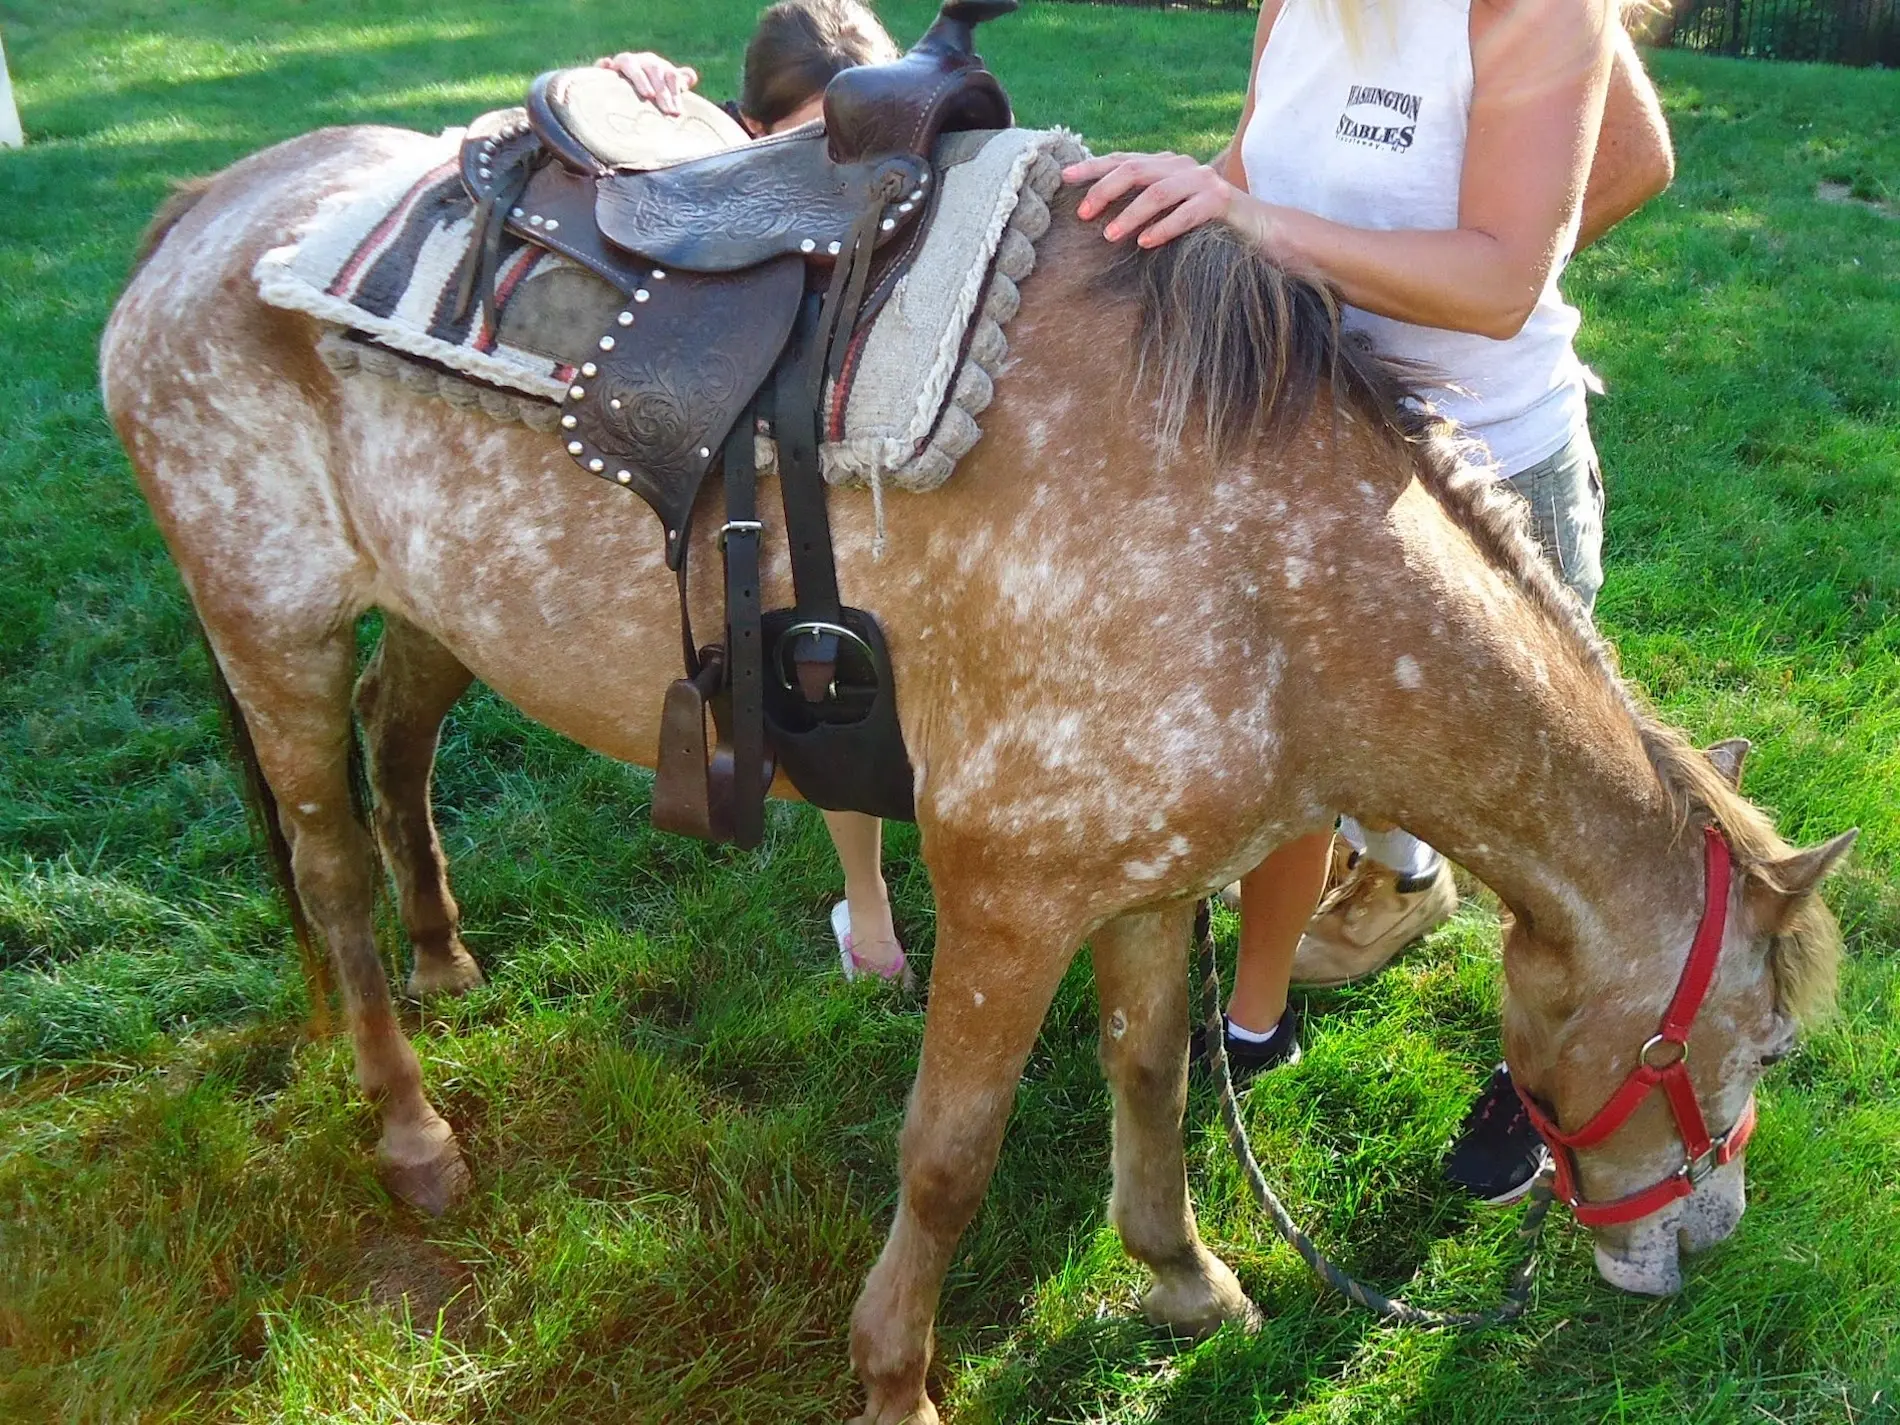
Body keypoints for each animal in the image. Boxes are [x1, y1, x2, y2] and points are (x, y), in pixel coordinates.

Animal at [104, 128, 1854, 1421]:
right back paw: (410, 1130)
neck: (1261, 564)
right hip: (271, 630)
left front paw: (1183, 1277)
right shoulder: (1007, 896)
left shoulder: (1149, 882)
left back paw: (450, 954)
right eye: (1755, 1040)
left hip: (430, 614)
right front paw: (897, 1378)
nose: (1698, 1249)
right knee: (328, 869)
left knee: (400, 750)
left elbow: (1150, 1076)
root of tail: (205, 211)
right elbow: (947, 1158)